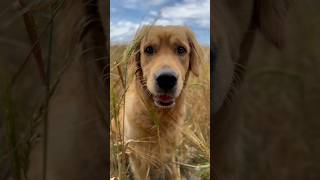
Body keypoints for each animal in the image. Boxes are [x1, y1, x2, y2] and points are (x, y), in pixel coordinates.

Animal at [112, 26, 202, 179]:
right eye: (149, 49)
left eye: (181, 49)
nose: (166, 79)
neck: (158, 116)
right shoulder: (139, 158)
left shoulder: (170, 154)